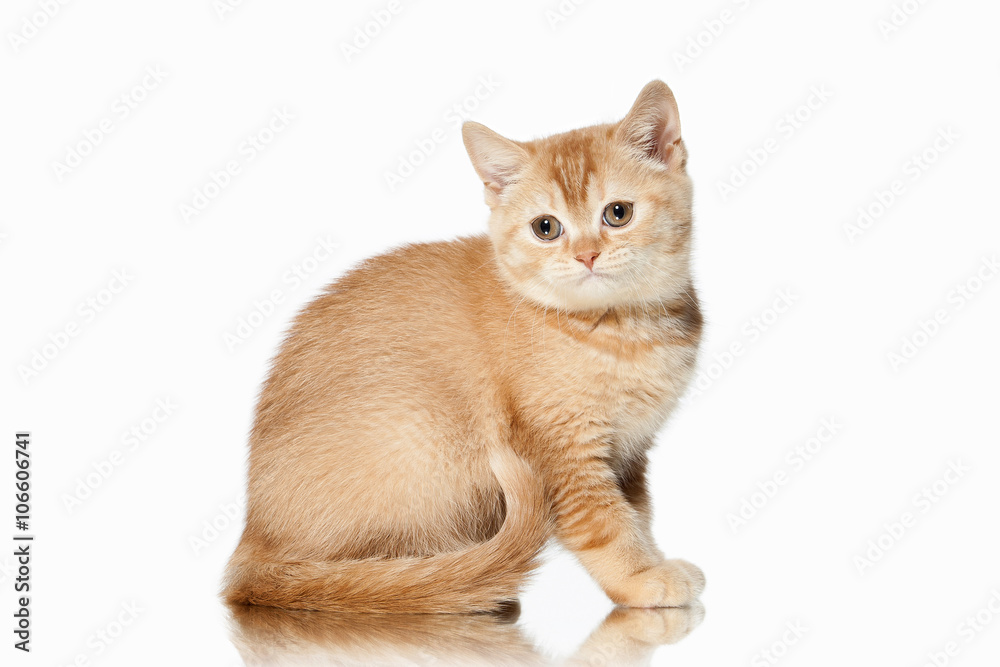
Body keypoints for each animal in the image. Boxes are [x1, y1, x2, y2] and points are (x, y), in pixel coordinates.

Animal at [223, 79, 708, 616]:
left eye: (618, 213)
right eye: (546, 227)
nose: (587, 255)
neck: (622, 332)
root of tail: (252, 540)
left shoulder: (631, 454)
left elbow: (638, 513)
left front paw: (651, 559)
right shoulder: (564, 454)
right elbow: (603, 522)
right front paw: (642, 577)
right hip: (423, 434)